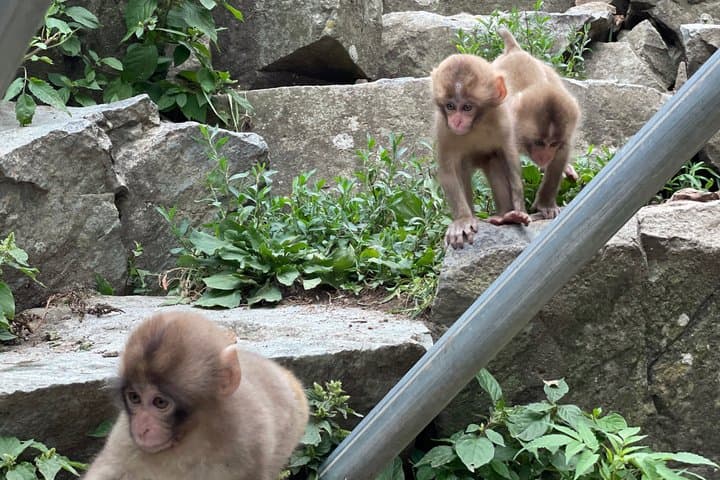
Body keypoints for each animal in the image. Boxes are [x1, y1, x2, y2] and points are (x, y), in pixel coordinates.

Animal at [83, 311, 309, 480]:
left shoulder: (251, 440)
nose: (142, 429)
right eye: (135, 398)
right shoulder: (124, 436)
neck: (192, 435)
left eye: (160, 402)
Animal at [431, 53, 530, 249]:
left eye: (467, 107)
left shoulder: (502, 118)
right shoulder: (443, 129)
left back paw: (506, 216)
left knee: (495, 162)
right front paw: (462, 220)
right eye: (450, 106)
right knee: (462, 169)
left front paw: (519, 209)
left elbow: (509, 157)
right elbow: (448, 171)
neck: (476, 125)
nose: (457, 122)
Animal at [493, 28, 582, 220]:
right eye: (539, 143)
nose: (545, 157)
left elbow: (559, 160)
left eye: (553, 144)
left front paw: (546, 204)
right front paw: (516, 212)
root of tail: (514, 51)